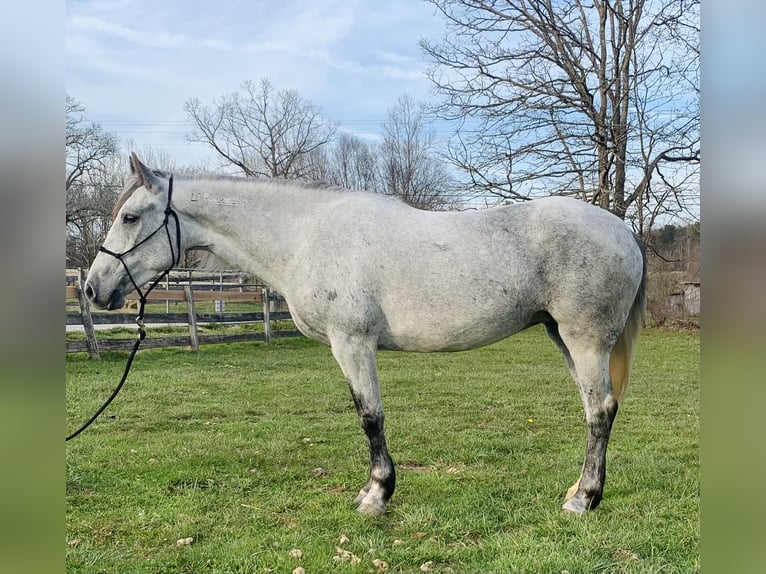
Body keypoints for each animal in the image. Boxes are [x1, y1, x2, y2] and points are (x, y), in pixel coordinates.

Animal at [85, 153, 648, 516]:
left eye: (130, 217)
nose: (92, 288)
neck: (305, 235)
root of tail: (622, 229)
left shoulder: (352, 343)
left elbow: (370, 416)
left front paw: (376, 496)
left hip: (584, 338)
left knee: (600, 412)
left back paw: (584, 500)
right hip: (563, 337)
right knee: (595, 409)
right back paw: (577, 491)